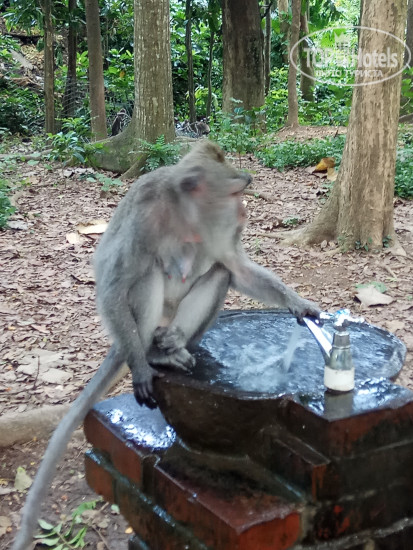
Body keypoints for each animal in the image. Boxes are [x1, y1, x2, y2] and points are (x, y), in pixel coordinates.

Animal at [12, 140, 320, 550]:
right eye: (235, 193)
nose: (244, 211)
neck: (185, 215)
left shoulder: (219, 233)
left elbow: (234, 267)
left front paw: (297, 303)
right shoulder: (145, 213)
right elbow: (114, 285)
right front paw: (142, 370)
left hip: (179, 318)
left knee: (218, 273)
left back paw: (175, 343)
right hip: (142, 319)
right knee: (145, 274)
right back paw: (150, 356)